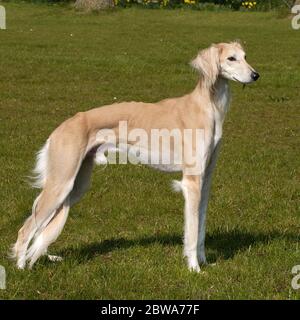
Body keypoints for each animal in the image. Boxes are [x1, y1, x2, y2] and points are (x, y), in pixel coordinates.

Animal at [11, 41, 258, 272]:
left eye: (245, 56)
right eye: (231, 58)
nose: (256, 75)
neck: (207, 106)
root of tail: (60, 128)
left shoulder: (205, 181)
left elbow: (201, 228)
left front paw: (204, 262)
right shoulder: (191, 183)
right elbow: (192, 231)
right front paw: (194, 269)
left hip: (75, 187)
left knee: (42, 228)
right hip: (61, 183)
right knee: (27, 228)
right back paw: (21, 267)